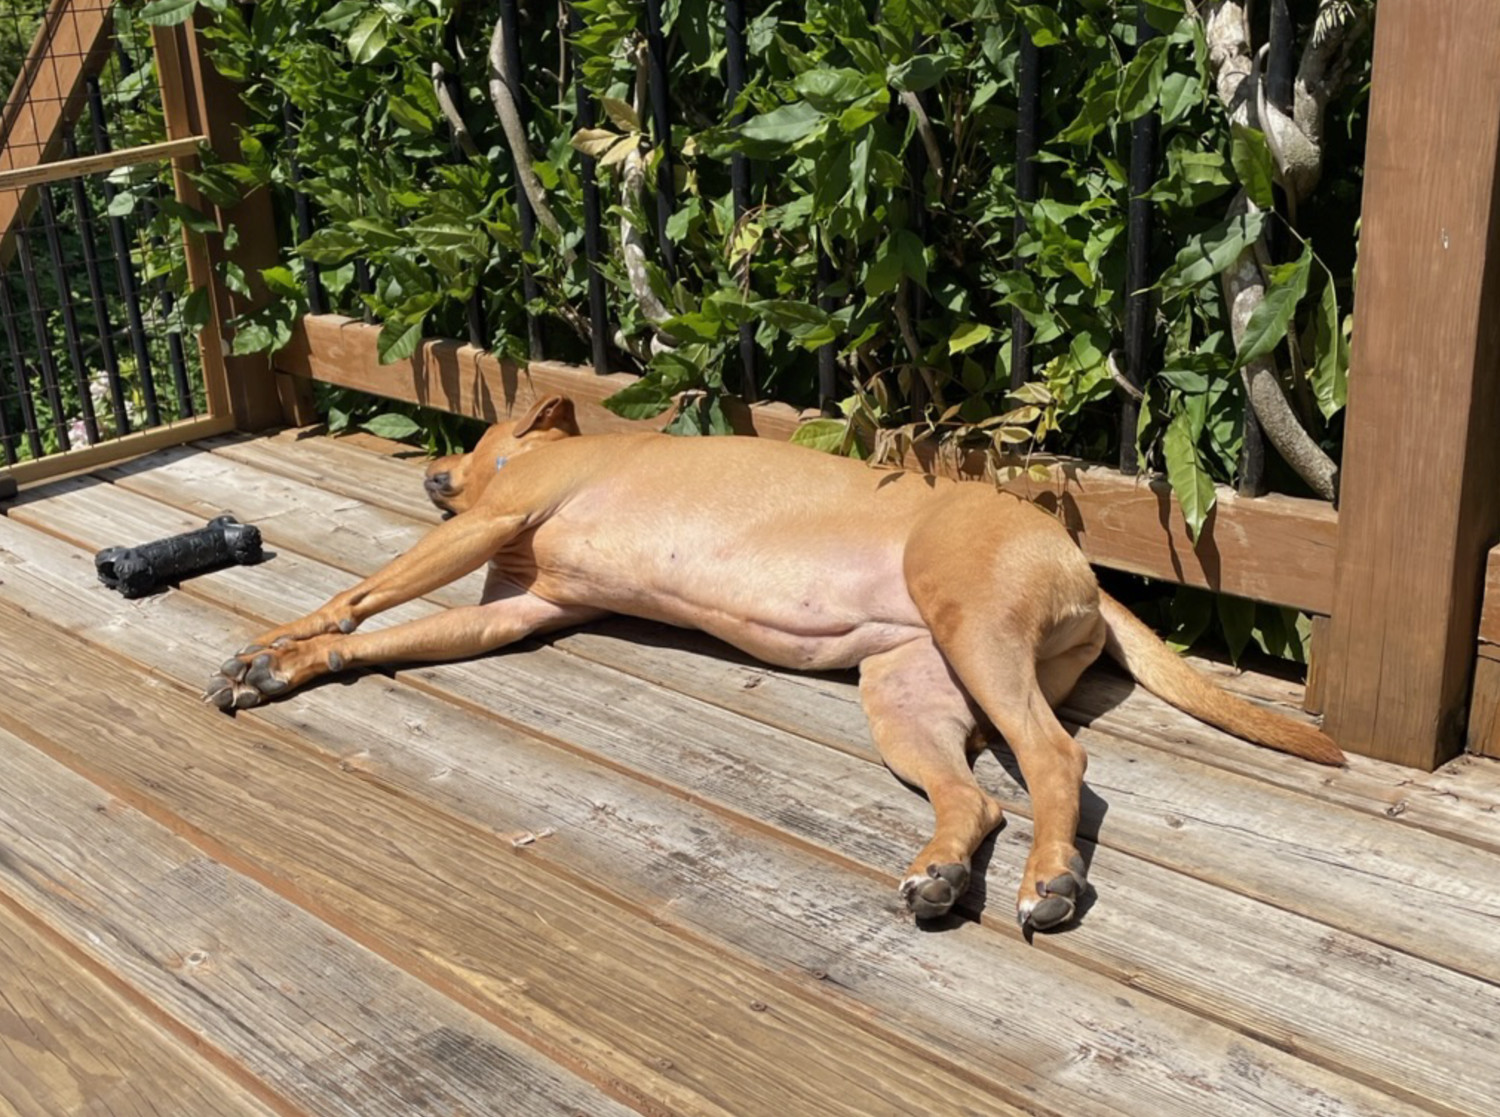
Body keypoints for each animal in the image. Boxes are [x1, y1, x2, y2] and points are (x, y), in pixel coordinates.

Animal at [205, 395, 1344, 929]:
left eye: (482, 435)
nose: (436, 466)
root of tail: (1079, 561)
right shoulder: (522, 609)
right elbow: (383, 633)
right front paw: (286, 665)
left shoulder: (491, 521)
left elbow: (360, 591)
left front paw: (276, 639)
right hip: (908, 692)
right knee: (976, 797)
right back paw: (941, 871)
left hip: (970, 624)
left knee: (1058, 761)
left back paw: (1049, 881)